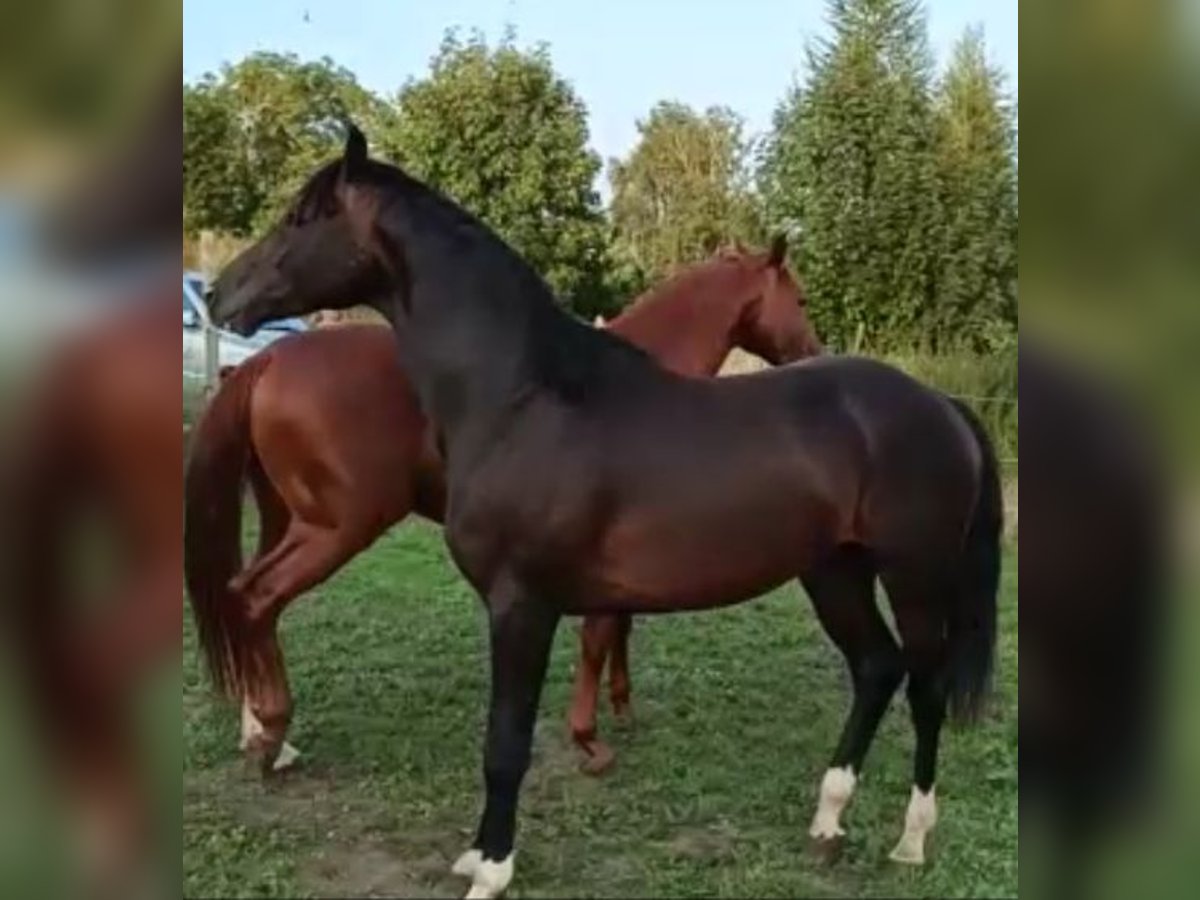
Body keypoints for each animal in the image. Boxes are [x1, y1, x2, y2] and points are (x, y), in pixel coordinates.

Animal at [185, 241, 819, 777]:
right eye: (800, 298)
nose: (815, 355)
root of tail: (265, 362)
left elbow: (621, 626)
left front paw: (621, 707)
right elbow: (600, 633)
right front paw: (589, 739)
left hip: (289, 520)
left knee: (245, 604)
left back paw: (260, 731)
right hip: (337, 528)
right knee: (258, 597)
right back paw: (272, 736)